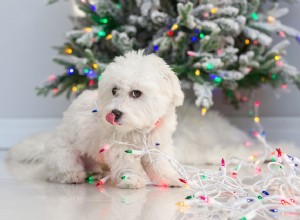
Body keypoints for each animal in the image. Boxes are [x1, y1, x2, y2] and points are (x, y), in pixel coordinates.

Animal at [8, 50, 184, 188]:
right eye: (114, 90)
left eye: (136, 93)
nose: (115, 113)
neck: (139, 128)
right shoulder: (118, 148)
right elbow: (128, 164)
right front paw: (131, 179)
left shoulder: (159, 146)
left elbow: (161, 164)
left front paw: (172, 178)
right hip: (63, 155)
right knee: (59, 171)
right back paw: (71, 176)